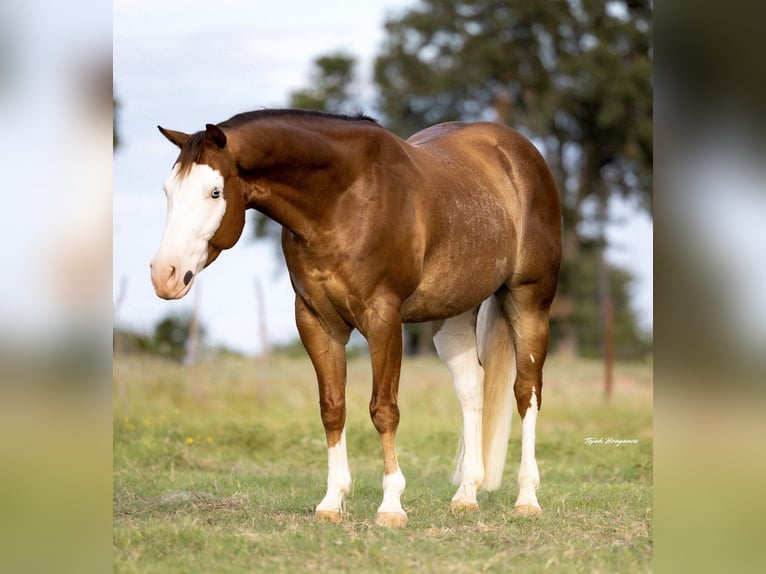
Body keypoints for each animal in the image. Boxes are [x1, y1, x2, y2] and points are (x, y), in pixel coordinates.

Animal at [150, 109, 561, 527]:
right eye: (168, 191)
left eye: (215, 192)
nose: (164, 275)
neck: (340, 201)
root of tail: (518, 152)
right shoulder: (316, 322)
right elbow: (333, 409)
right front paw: (332, 500)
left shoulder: (383, 319)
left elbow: (384, 410)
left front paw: (391, 505)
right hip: (454, 313)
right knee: (472, 387)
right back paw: (467, 494)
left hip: (529, 303)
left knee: (526, 391)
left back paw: (527, 498)